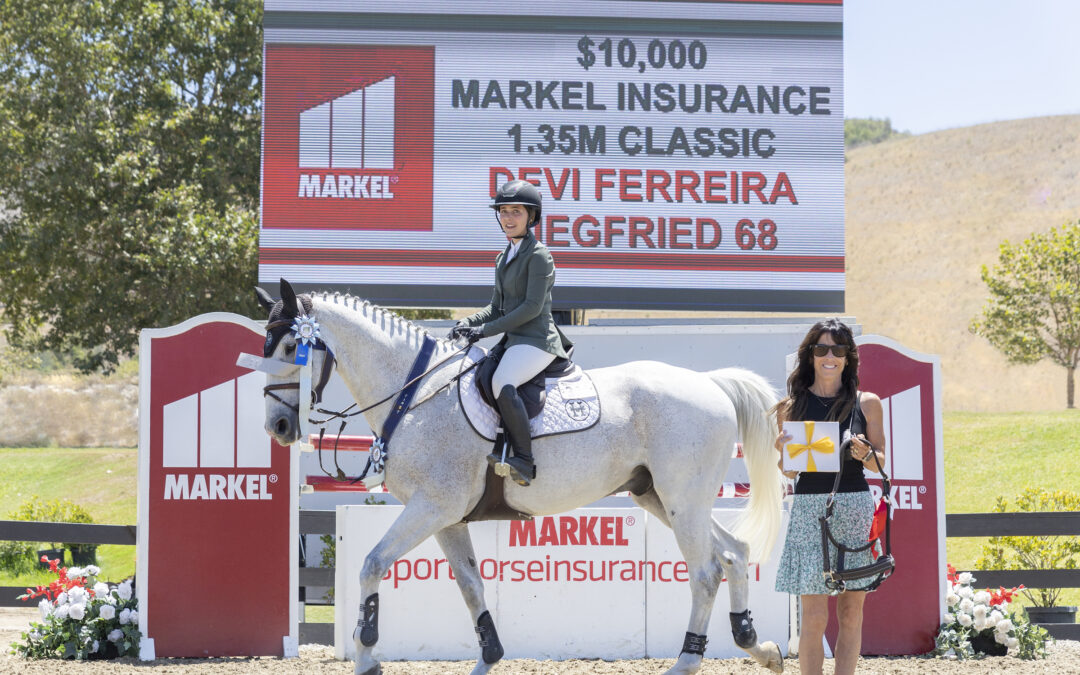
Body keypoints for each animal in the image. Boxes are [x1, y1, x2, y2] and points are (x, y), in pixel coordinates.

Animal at [252, 280, 786, 673]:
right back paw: (759, 647)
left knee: (706, 572)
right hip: (662, 498)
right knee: (735, 555)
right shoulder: (449, 518)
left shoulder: (431, 507)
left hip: (682, 499)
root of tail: (710, 383)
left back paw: (688, 661)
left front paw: (366, 655)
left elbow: (371, 564)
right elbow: (471, 585)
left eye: (290, 346)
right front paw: (489, 658)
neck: (413, 391)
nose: (277, 427)